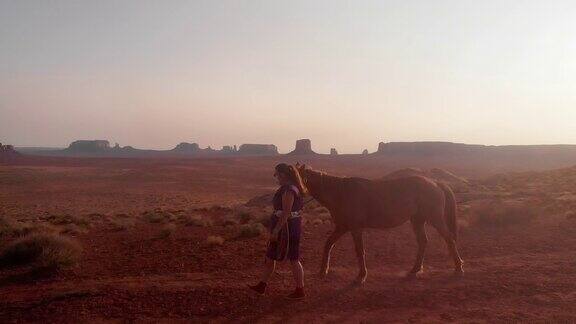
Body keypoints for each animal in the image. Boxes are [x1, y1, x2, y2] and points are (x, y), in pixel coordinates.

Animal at [296, 163, 464, 284]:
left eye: (295, 177)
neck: (341, 193)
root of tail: (435, 182)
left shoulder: (356, 228)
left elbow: (360, 250)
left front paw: (361, 276)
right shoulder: (342, 227)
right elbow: (328, 244)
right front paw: (323, 270)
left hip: (435, 219)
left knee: (449, 239)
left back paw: (458, 268)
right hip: (417, 220)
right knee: (423, 241)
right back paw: (415, 270)